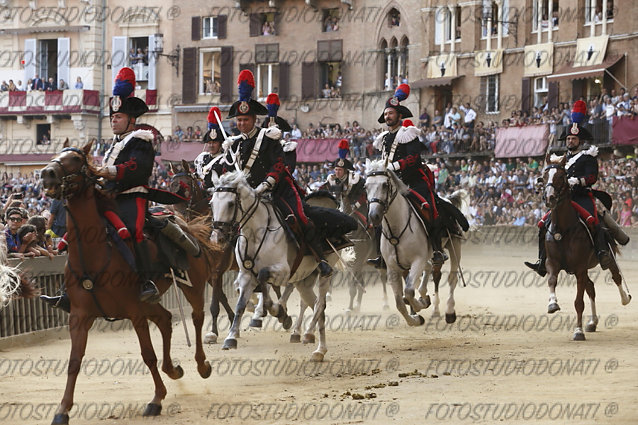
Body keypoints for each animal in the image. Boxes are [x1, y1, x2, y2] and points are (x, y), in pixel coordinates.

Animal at [38, 143, 222, 424]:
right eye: (57, 154)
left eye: (76, 159)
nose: (47, 174)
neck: (95, 253)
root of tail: (185, 225)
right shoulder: (79, 316)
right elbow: (74, 361)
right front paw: (62, 410)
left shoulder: (135, 312)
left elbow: (148, 355)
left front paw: (156, 399)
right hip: (151, 303)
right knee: (166, 319)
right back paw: (173, 369)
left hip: (193, 286)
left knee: (197, 317)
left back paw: (202, 365)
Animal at [210, 171, 350, 360]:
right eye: (211, 203)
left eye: (231, 204)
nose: (217, 238)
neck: (256, 233)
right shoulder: (246, 276)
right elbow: (240, 304)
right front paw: (231, 338)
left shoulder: (283, 272)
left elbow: (263, 277)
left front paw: (277, 311)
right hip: (303, 280)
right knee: (313, 303)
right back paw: (309, 338)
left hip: (323, 272)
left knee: (320, 303)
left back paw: (318, 347)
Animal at [364, 159, 440, 324]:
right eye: (365, 186)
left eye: (385, 185)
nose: (374, 216)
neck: (396, 229)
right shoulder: (392, 268)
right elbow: (399, 302)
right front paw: (415, 320)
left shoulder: (417, 260)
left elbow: (409, 291)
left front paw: (419, 306)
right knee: (427, 268)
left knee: (432, 271)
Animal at [544, 154, 632, 340]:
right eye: (543, 176)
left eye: (561, 176)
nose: (549, 198)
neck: (563, 229)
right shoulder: (552, 263)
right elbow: (552, 280)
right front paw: (552, 304)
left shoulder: (580, 268)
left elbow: (578, 302)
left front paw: (578, 331)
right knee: (590, 287)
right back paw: (592, 322)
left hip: (606, 258)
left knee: (616, 277)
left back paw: (625, 299)